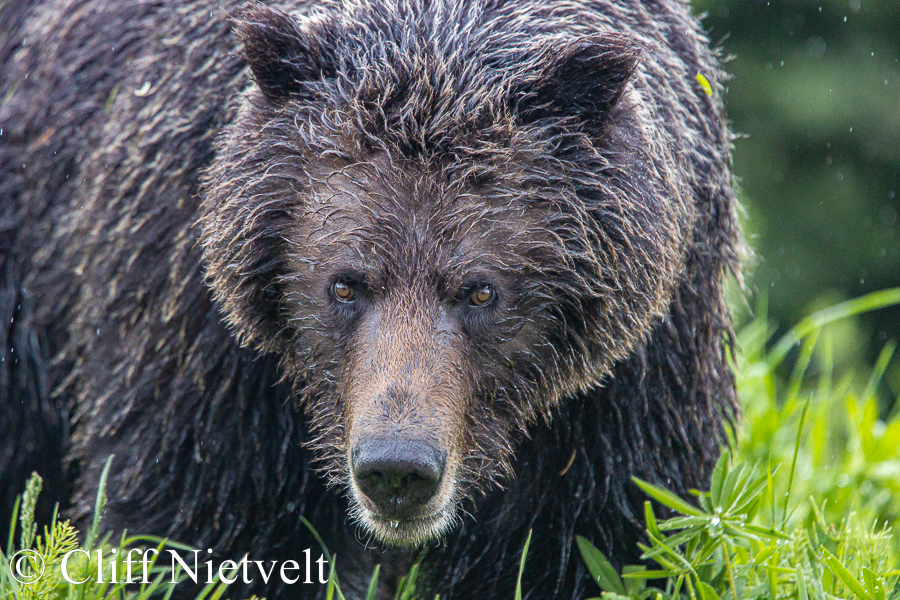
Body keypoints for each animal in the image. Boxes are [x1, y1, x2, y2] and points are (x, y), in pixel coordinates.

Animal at [0, 0, 741, 598]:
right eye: (345, 283)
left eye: (480, 289)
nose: (397, 468)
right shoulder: (204, 337)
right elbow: (198, 528)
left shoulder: (627, 379)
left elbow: (590, 542)